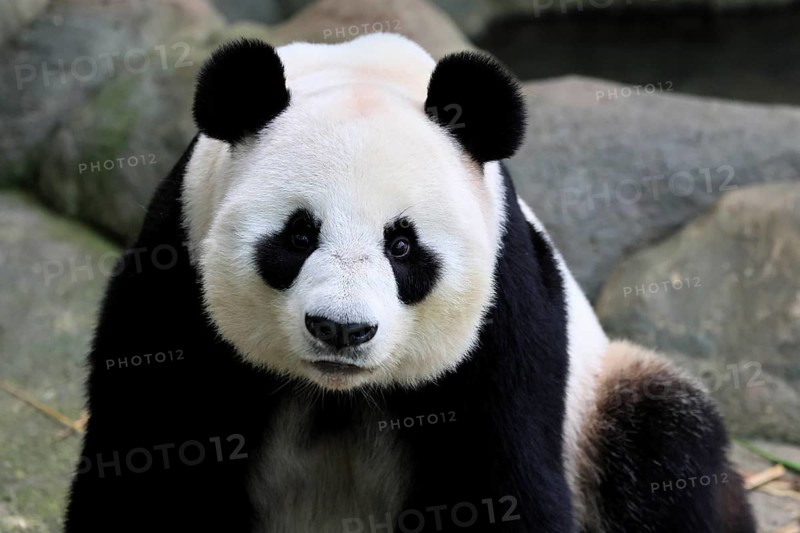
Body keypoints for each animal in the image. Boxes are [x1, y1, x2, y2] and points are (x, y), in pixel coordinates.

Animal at [65, 34, 755, 533]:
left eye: (402, 246)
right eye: (298, 235)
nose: (340, 329)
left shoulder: (504, 316)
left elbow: (501, 484)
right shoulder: (174, 274)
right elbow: (151, 464)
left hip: (600, 403)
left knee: (665, 442)